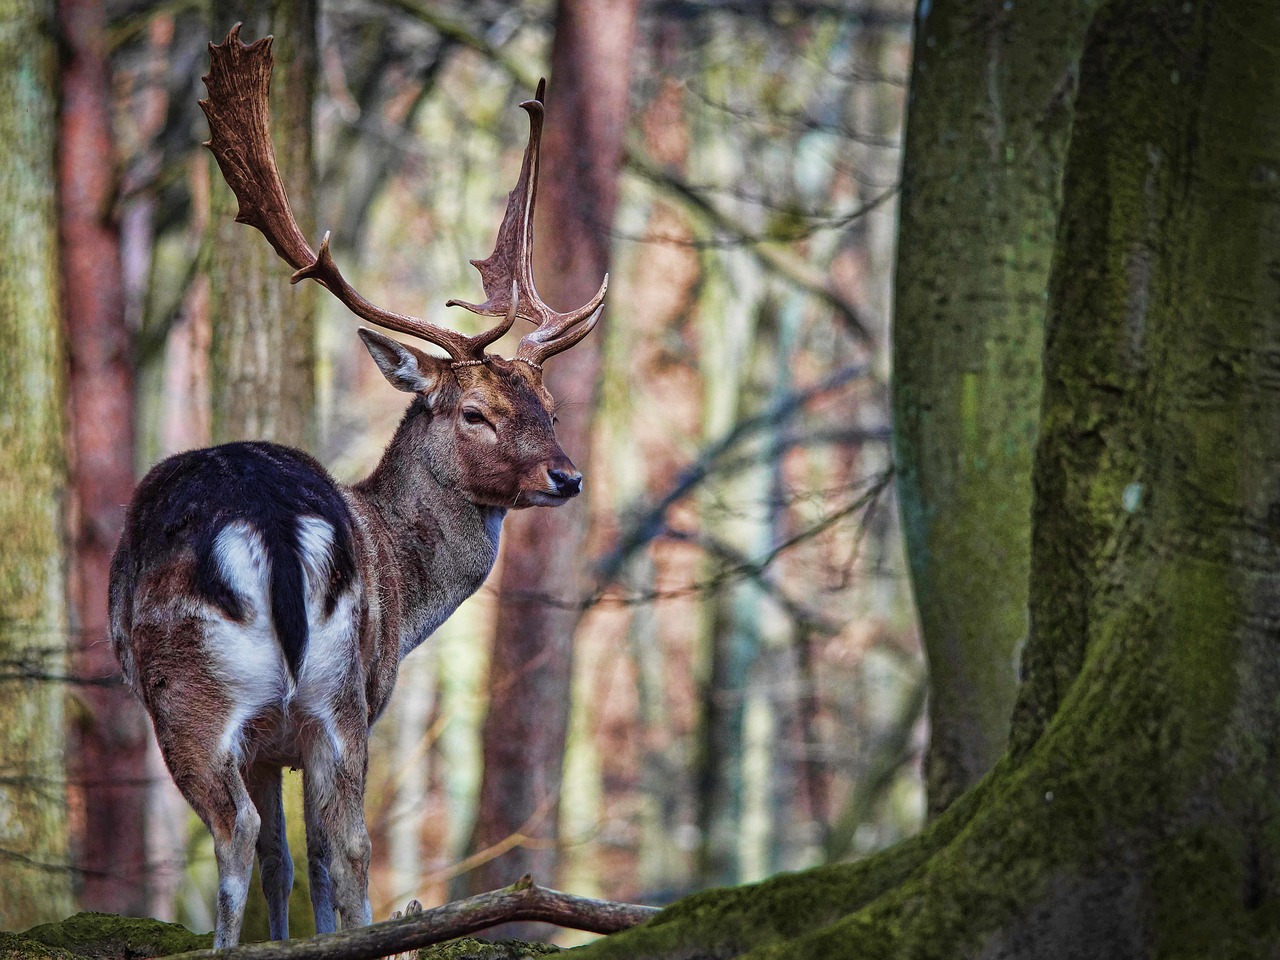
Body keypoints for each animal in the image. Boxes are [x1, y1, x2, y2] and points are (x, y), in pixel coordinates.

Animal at [108, 26, 604, 952]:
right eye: (477, 413)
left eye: (547, 406)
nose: (568, 475)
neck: (406, 597)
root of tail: (272, 527)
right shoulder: (320, 720)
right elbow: (300, 859)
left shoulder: (290, 728)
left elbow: (282, 853)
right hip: (330, 700)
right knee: (346, 840)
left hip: (197, 694)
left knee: (242, 835)